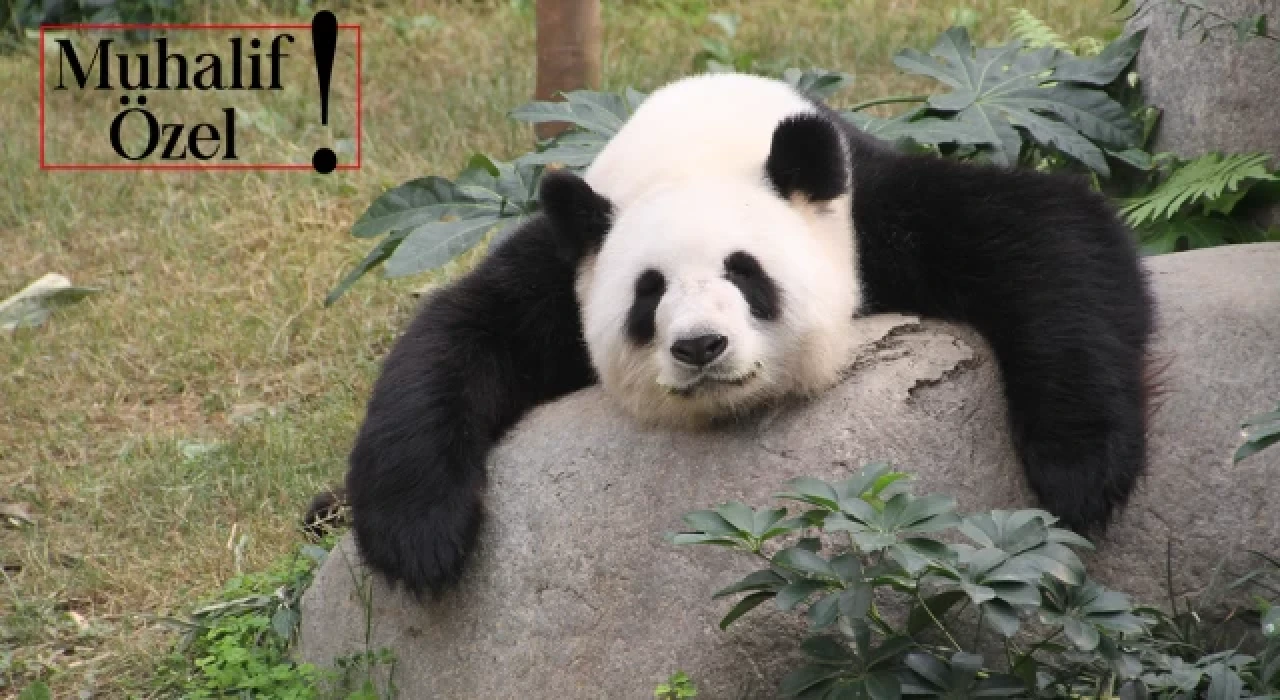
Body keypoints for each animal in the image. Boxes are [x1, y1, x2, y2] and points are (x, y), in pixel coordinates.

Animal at [332, 72, 1154, 598]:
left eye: (746, 273)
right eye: (648, 294)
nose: (700, 347)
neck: (696, 144)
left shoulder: (871, 209)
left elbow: (1043, 234)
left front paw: (1078, 467)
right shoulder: (567, 265)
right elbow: (455, 335)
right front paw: (419, 535)